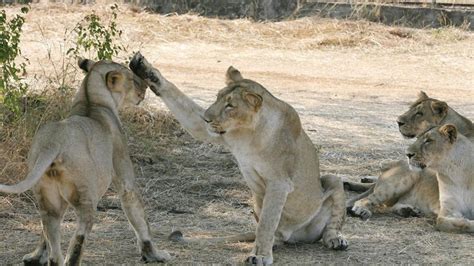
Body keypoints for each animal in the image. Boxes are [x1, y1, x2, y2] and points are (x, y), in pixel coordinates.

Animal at [0, 59, 170, 264]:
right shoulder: (123, 171)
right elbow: (138, 215)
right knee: (79, 235)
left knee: (52, 238)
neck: (91, 101)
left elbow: (44, 237)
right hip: (86, 195)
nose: (144, 86)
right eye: (132, 78)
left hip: (47, 199)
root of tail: (53, 142)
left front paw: (35, 256)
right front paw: (155, 254)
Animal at [130, 53, 348, 264]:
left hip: (333, 180)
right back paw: (276, 243)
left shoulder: (279, 182)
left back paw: (336, 240)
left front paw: (260, 256)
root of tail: (292, 235)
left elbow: (267, 222)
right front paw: (145, 70)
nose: (207, 118)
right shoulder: (211, 132)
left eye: (230, 105)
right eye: (217, 97)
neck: (248, 134)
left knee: (331, 223)